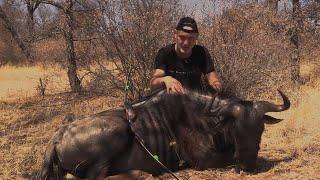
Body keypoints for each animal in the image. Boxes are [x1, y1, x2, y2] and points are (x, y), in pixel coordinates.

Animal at [40, 89, 290, 179]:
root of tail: (58, 137)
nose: (248, 166)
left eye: (260, 129)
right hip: (117, 132)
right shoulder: (203, 160)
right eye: (235, 129)